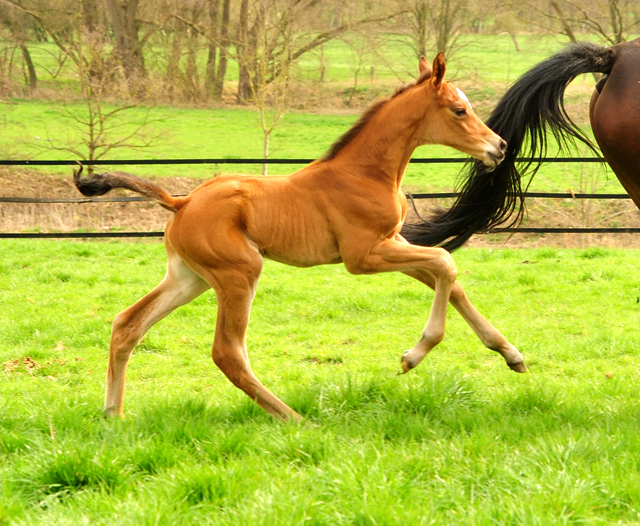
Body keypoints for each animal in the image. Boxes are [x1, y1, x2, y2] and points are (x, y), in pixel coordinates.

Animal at [75, 53, 524, 422]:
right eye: (460, 110)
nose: (499, 146)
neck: (366, 173)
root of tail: (181, 201)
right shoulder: (363, 256)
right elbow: (446, 263)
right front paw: (414, 355)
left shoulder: (391, 244)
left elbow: (449, 280)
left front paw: (510, 354)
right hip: (240, 272)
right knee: (227, 352)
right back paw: (294, 418)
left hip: (190, 277)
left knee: (128, 324)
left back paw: (113, 416)